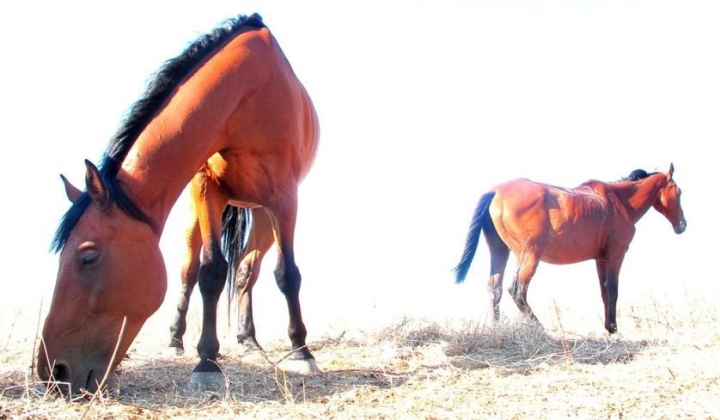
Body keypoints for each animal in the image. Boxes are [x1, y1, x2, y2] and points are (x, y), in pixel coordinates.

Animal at [38, 12, 320, 394]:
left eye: (88, 257)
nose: (54, 372)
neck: (251, 94)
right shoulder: (206, 188)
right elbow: (210, 272)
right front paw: (207, 362)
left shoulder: (284, 198)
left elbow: (287, 274)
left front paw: (302, 352)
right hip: (198, 216)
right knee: (190, 271)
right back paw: (176, 340)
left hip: (262, 213)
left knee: (248, 270)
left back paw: (249, 339)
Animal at [456, 165, 688, 334]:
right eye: (679, 191)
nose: (682, 225)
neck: (617, 201)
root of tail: (496, 192)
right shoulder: (616, 255)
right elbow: (613, 290)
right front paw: (613, 329)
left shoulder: (601, 259)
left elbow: (604, 291)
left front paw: (609, 328)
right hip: (530, 254)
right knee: (517, 290)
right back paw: (540, 328)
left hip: (499, 251)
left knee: (495, 289)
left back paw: (497, 328)